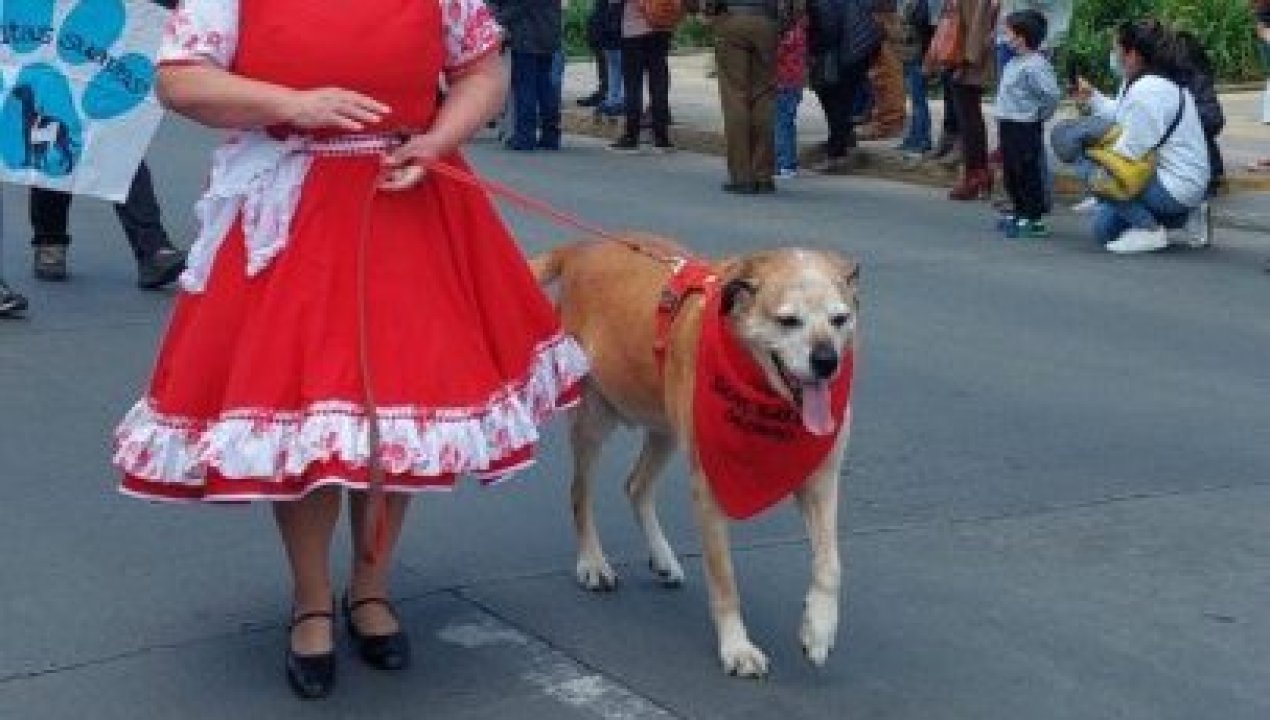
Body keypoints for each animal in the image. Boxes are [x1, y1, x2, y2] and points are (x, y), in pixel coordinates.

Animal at [525, 234, 863, 675]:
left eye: (840, 319)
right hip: (594, 417)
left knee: (635, 486)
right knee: (579, 492)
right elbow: (724, 579)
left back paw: (662, 557)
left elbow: (831, 565)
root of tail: (584, 248)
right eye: (788, 321)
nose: (827, 362)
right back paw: (593, 562)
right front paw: (736, 646)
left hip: (665, 427)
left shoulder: (821, 481)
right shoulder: (710, 491)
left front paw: (818, 629)